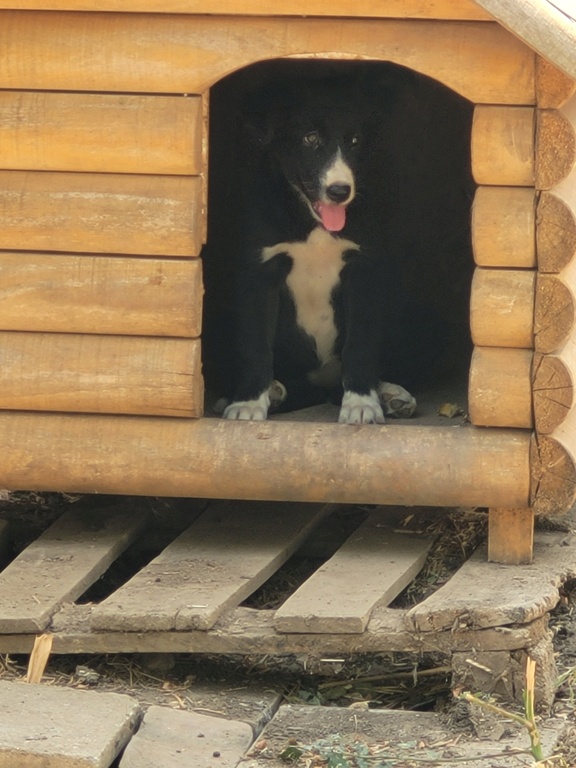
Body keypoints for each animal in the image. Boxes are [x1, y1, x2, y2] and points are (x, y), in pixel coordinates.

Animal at [206, 64, 472, 426]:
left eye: (355, 141)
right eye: (310, 138)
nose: (339, 191)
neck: (313, 224)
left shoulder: (364, 270)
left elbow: (360, 345)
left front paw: (361, 404)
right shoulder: (258, 272)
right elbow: (254, 344)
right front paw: (247, 404)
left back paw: (390, 395)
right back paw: (271, 393)